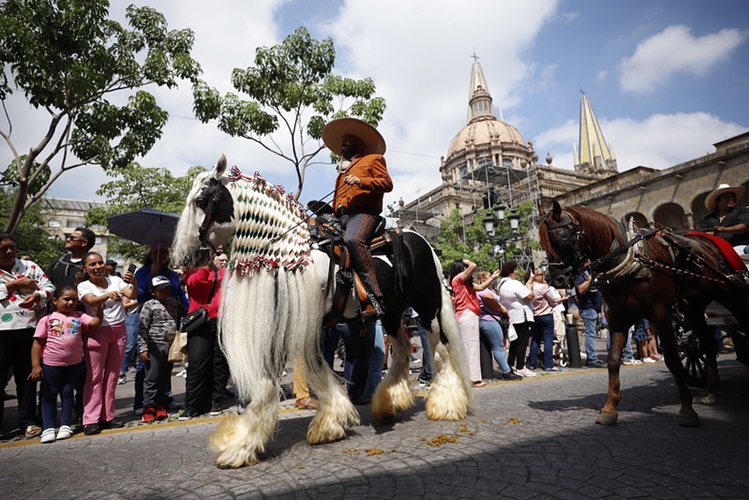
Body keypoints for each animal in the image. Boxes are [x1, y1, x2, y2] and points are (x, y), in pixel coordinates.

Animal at [172, 155, 470, 468]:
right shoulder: (298, 325)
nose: (184, 257)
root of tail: (422, 242)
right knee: (401, 350)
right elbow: (311, 368)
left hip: (427, 306)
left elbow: (279, 378)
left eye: (201, 200)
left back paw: (446, 403)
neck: (288, 254)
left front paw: (241, 445)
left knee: (441, 348)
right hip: (390, 311)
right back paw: (390, 402)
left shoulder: (296, 323)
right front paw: (330, 419)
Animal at [536, 199, 748, 426]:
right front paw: (610, 407)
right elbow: (613, 360)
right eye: (543, 244)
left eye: (561, 239)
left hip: (728, 294)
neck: (626, 259)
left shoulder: (660, 312)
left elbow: (672, 359)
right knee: (706, 342)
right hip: (692, 307)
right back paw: (710, 391)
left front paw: (686, 409)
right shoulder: (617, 316)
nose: (556, 280)